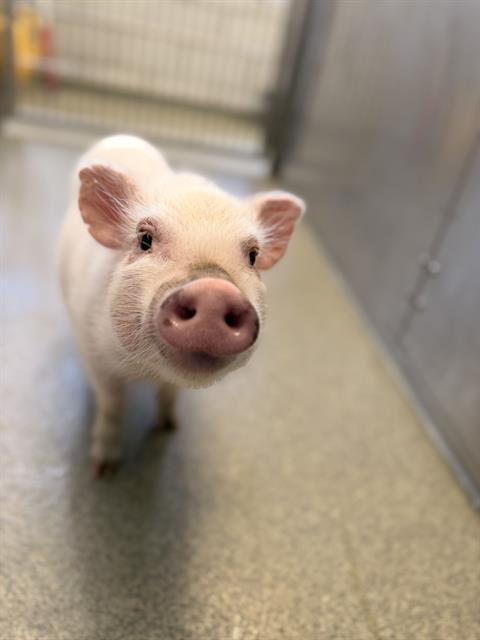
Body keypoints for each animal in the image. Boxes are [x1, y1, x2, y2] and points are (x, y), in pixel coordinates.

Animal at [58, 135, 305, 475]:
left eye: (253, 256)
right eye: (145, 239)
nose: (214, 290)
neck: (144, 372)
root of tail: (123, 136)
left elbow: (169, 395)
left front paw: (169, 427)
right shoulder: (95, 357)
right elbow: (111, 406)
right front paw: (104, 470)